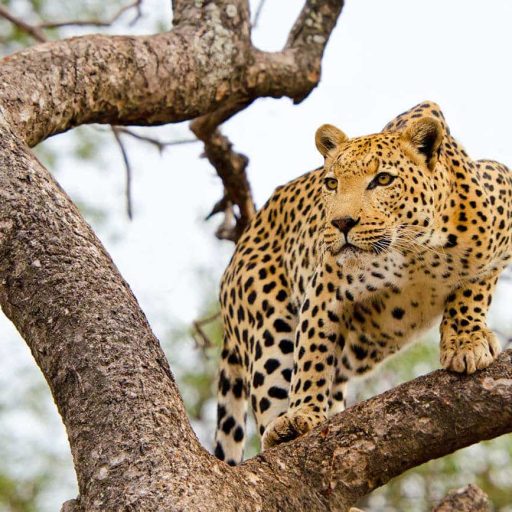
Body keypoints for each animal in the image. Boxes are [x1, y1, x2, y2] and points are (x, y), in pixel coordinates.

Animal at [212, 99, 508, 464]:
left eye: (383, 179)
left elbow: (476, 283)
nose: (341, 222)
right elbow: (311, 352)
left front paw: (466, 342)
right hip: (267, 322)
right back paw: (282, 429)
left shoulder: (501, 190)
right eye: (331, 184)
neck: (415, 250)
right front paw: (303, 412)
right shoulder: (325, 289)